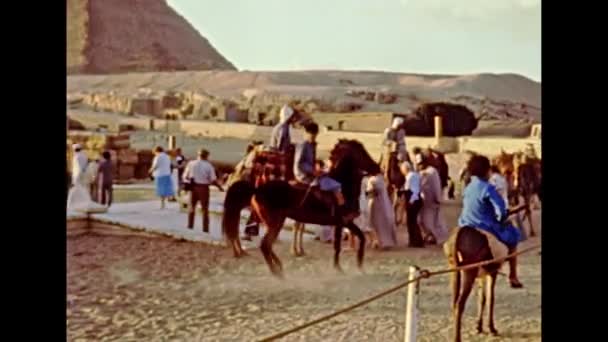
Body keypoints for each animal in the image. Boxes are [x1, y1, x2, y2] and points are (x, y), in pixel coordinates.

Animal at [221, 140, 378, 276]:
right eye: (362, 153)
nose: (377, 168)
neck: (343, 186)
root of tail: (257, 190)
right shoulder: (339, 222)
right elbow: (337, 246)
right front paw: (338, 269)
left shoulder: (347, 221)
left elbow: (362, 238)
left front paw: (360, 266)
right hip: (276, 223)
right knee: (265, 245)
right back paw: (277, 273)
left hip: (271, 222)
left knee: (267, 245)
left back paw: (279, 267)